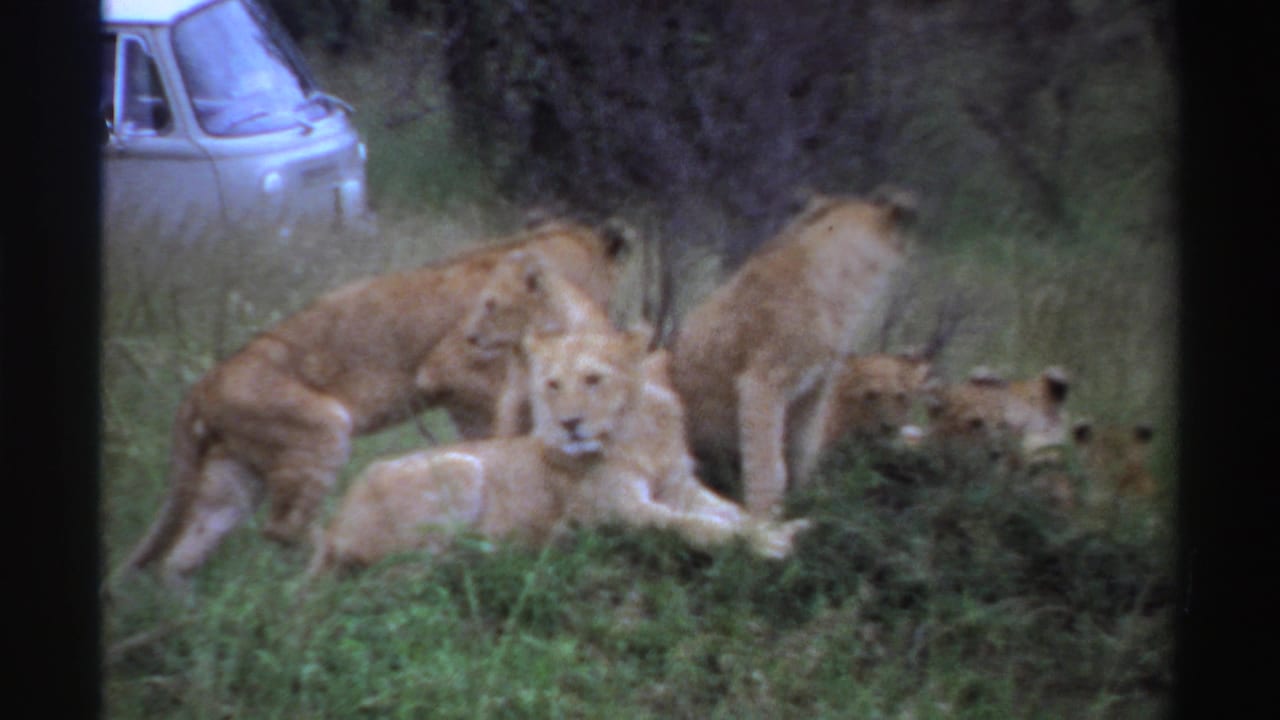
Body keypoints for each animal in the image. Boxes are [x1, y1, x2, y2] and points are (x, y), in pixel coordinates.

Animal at [309, 328, 809, 575]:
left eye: (593, 379)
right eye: (552, 385)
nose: (570, 424)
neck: (636, 432)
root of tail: (332, 527)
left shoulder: (679, 485)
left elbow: (730, 511)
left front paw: (780, 526)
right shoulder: (617, 511)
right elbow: (692, 525)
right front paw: (766, 543)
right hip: (461, 466)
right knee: (411, 570)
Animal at [670, 187, 917, 516]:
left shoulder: (816, 390)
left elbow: (802, 450)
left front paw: (806, 501)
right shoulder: (761, 383)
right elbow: (768, 464)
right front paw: (763, 519)